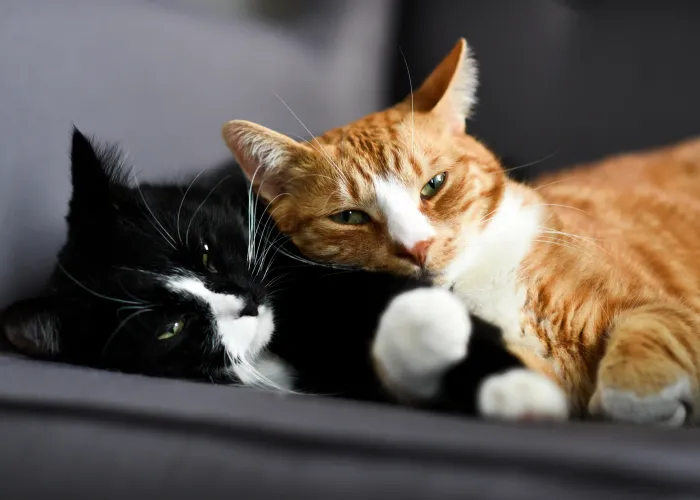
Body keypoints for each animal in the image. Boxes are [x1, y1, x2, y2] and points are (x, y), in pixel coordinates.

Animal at [221, 38, 700, 426]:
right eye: (350, 217)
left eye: (434, 184)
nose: (418, 247)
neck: (479, 280)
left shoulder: (670, 310)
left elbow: (642, 349)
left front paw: (645, 401)